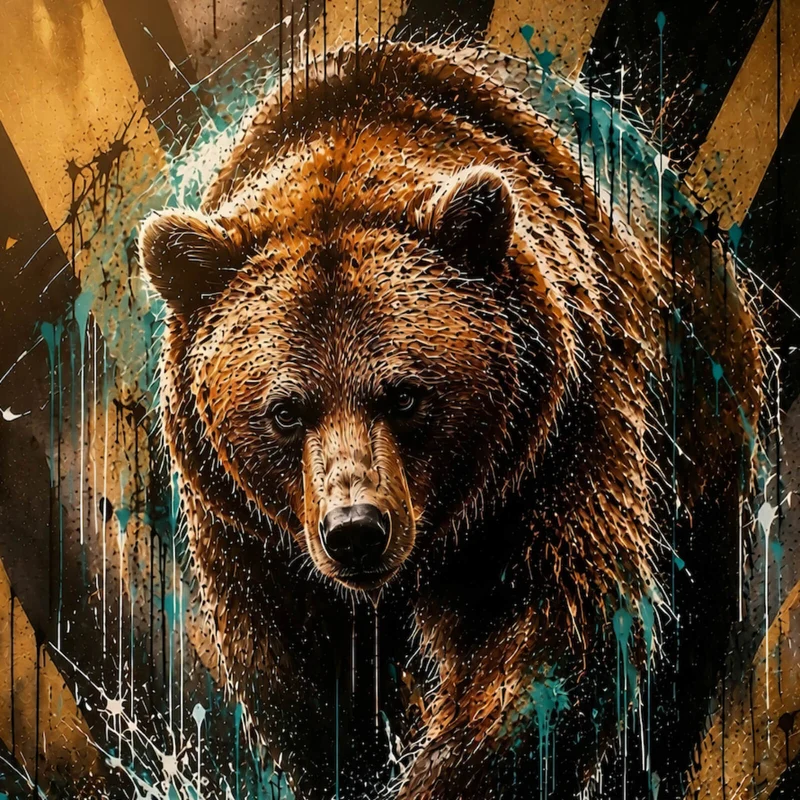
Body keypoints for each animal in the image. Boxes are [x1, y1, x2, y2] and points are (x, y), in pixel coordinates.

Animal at [139, 40, 763, 799]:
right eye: (285, 411)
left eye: (406, 395)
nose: (355, 531)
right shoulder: (251, 531)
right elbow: (300, 676)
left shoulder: (555, 444)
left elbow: (547, 634)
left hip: (702, 420)